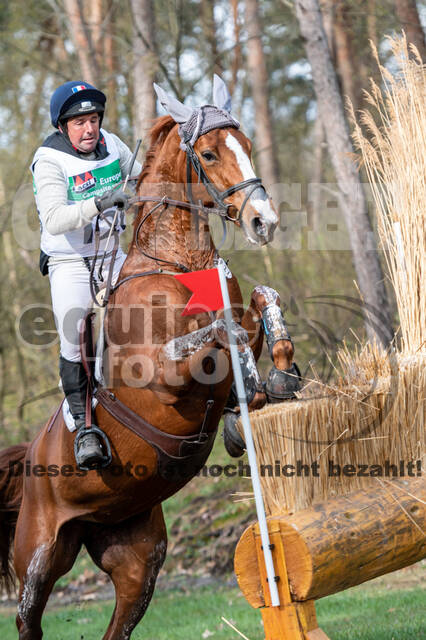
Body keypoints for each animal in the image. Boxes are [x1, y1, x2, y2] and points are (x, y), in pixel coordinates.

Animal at [0, 82, 296, 636]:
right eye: (208, 154)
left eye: (245, 142)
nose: (263, 221)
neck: (177, 260)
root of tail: (29, 453)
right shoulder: (164, 376)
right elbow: (217, 333)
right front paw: (250, 386)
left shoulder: (242, 320)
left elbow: (264, 299)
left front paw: (281, 377)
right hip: (39, 555)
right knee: (30, 619)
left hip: (138, 555)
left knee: (120, 621)